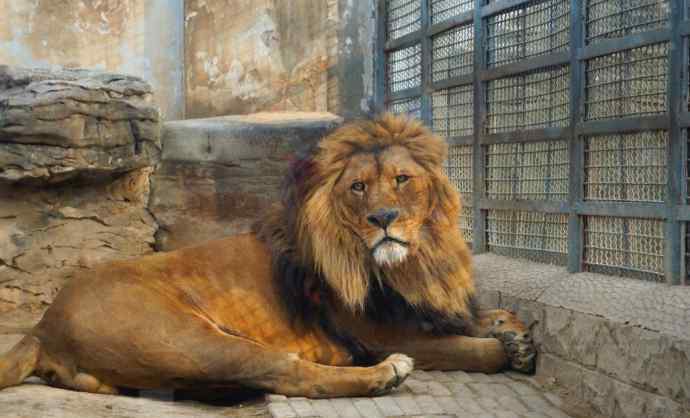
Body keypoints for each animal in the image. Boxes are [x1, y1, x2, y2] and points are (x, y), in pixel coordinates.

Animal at [0, 113, 536, 398]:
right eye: (358, 187)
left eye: (402, 179)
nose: (382, 218)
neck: (412, 264)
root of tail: (42, 327)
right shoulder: (379, 331)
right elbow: (463, 347)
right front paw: (506, 349)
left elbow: (477, 318)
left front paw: (513, 330)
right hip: (192, 340)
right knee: (289, 374)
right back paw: (385, 375)